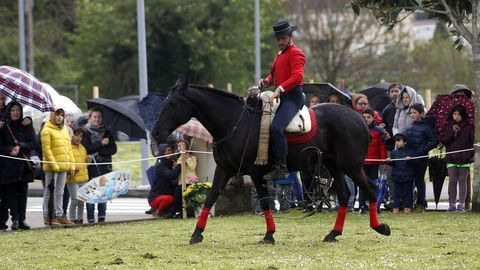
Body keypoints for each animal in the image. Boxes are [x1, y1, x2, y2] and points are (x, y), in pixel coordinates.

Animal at [152, 79, 392, 245]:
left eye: (173, 103)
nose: (155, 133)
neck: (235, 123)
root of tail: (359, 118)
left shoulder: (256, 172)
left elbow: (266, 202)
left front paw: (269, 234)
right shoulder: (224, 169)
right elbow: (210, 198)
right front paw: (196, 233)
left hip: (352, 166)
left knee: (371, 190)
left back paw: (379, 227)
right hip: (335, 167)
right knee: (344, 196)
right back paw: (333, 233)